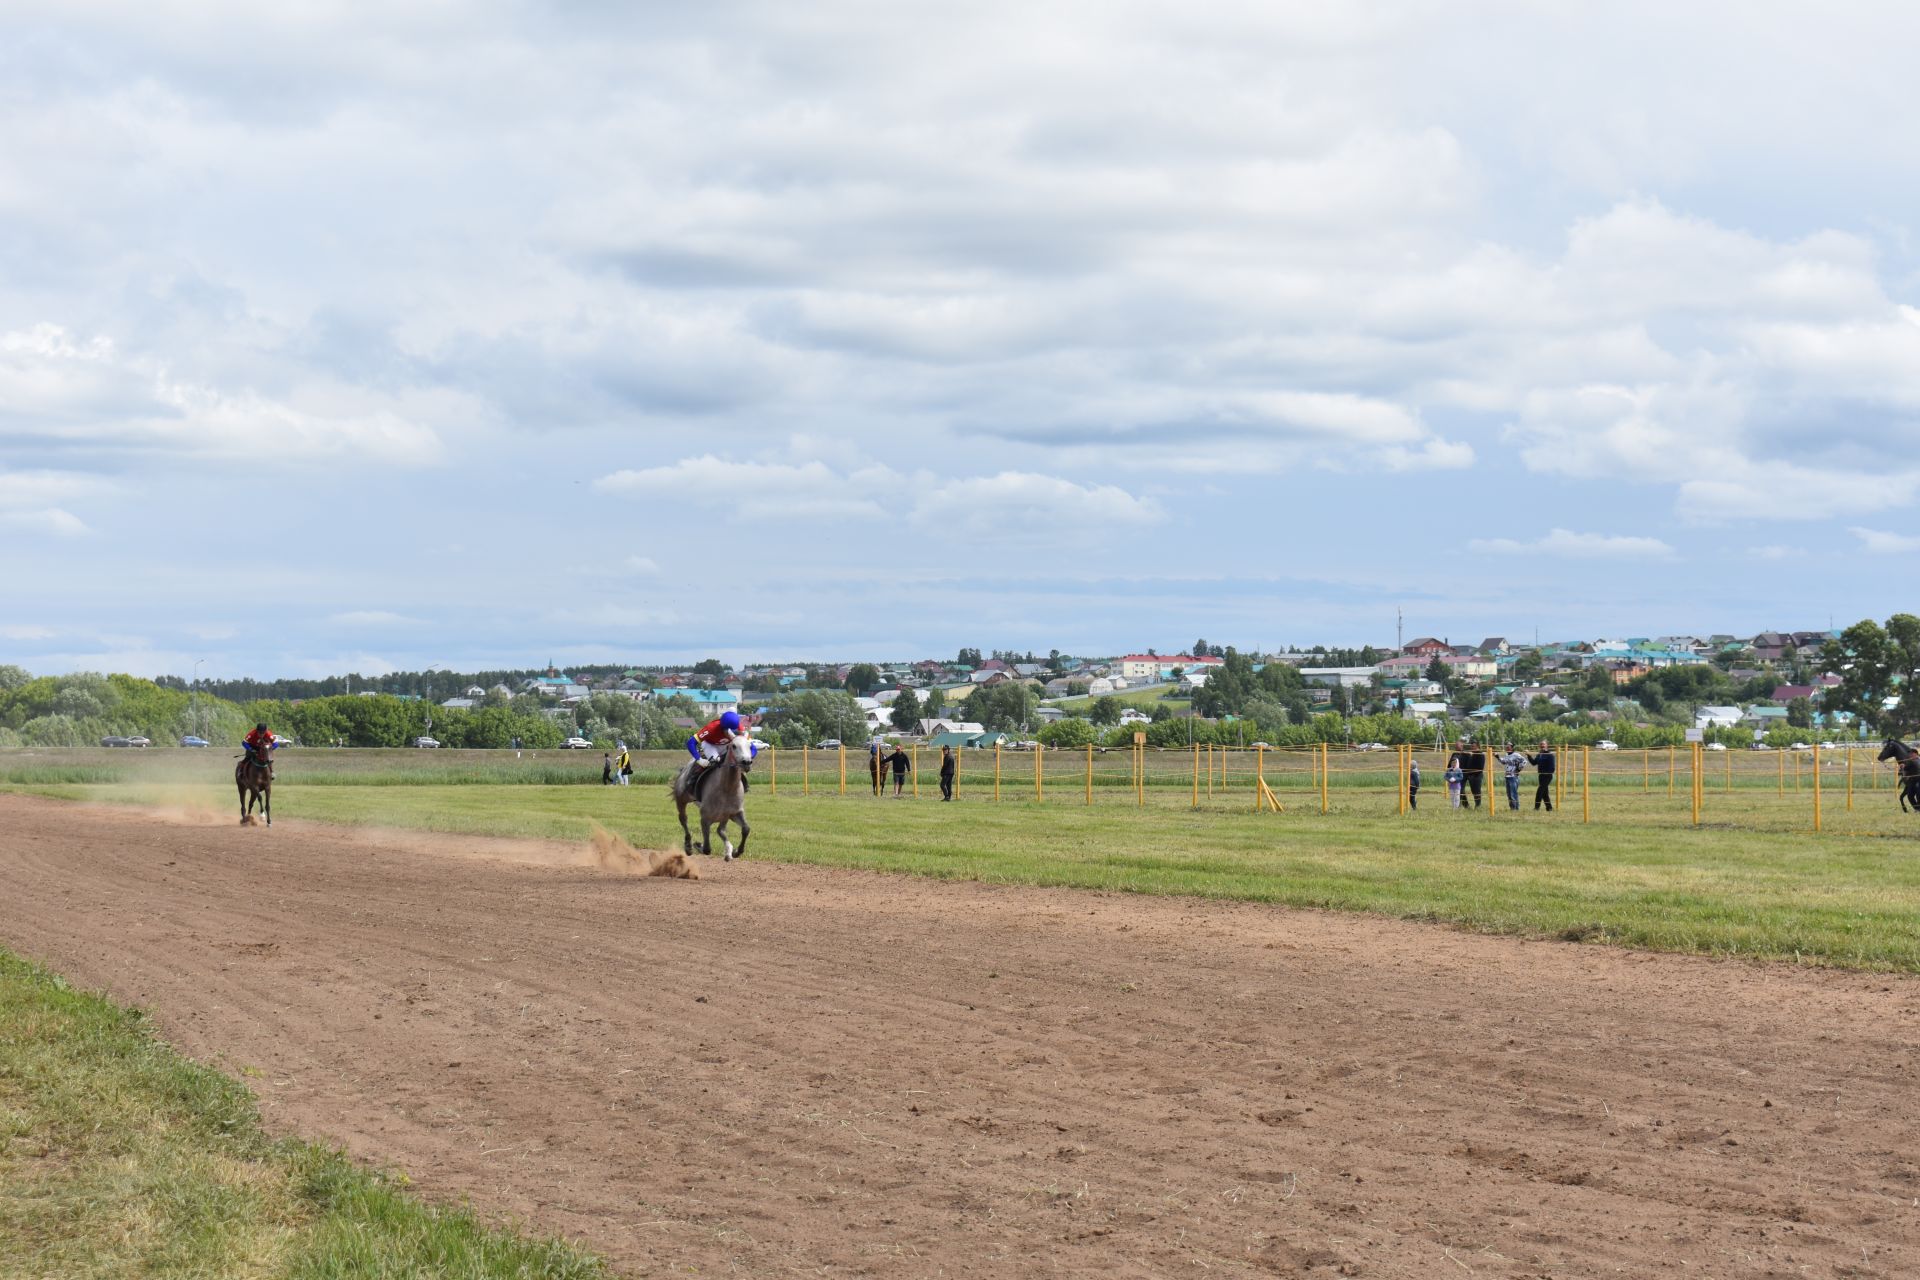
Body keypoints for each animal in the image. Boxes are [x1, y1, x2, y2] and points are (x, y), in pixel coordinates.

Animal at [675, 729, 748, 859]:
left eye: (750, 745)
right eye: (734, 746)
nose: (747, 762)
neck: (727, 787)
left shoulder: (735, 812)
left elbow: (746, 829)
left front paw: (737, 851)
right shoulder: (705, 818)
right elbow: (707, 849)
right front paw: (698, 845)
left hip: (724, 817)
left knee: (720, 830)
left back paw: (729, 850)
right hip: (681, 798)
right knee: (683, 819)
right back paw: (688, 846)